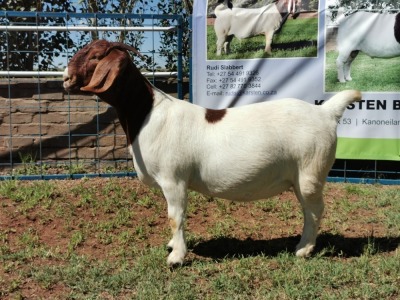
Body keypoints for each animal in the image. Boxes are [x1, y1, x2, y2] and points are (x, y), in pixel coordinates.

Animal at [64, 40, 360, 268]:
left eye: (95, 56)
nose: (66, 78)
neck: (148, 114)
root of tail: (326, 112)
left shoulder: (174, 179)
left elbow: (175, 217)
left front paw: (176, 257)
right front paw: (172, 246)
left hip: (310, 172)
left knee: (315, 210)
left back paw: (303, 249)